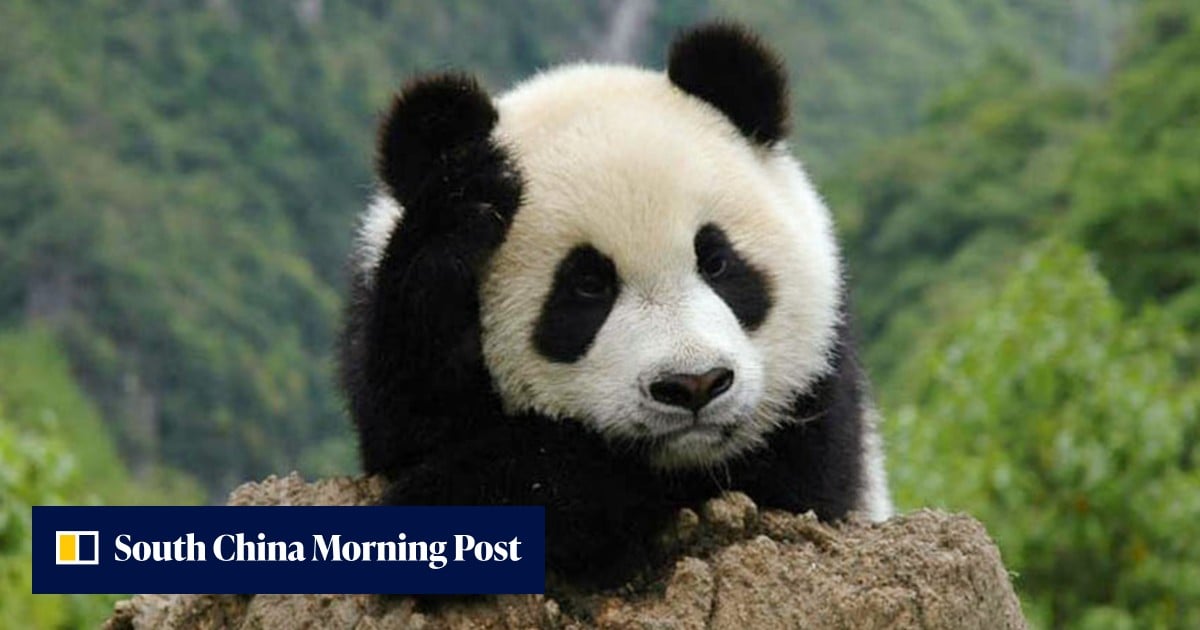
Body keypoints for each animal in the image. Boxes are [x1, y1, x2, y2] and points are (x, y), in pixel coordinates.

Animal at [340, 23, 892, 581]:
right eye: (588, 285)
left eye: (716, 262)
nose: (694, 385)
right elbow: (409, 403)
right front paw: (463, 198)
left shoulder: (818, 413)